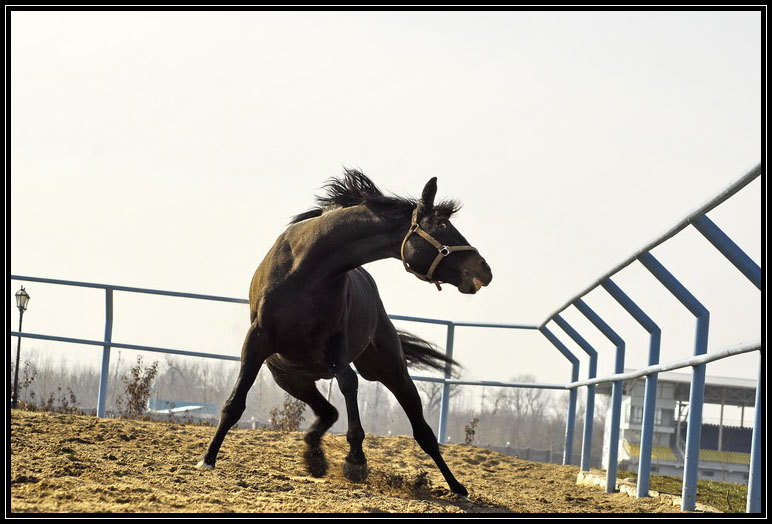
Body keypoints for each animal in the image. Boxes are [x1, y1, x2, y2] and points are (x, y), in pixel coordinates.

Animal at [196, 171, 492, 496]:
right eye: (441, 226)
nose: (485, 269)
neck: (306, 269)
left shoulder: (336, 345)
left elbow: (349, 384)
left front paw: (356, 460)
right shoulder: (256, 342)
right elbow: (234, 403)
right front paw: (208, 459)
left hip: (391, 371)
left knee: (422, 432)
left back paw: (457, 486)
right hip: (291, 378)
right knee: (328, 413)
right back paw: (314, 457)